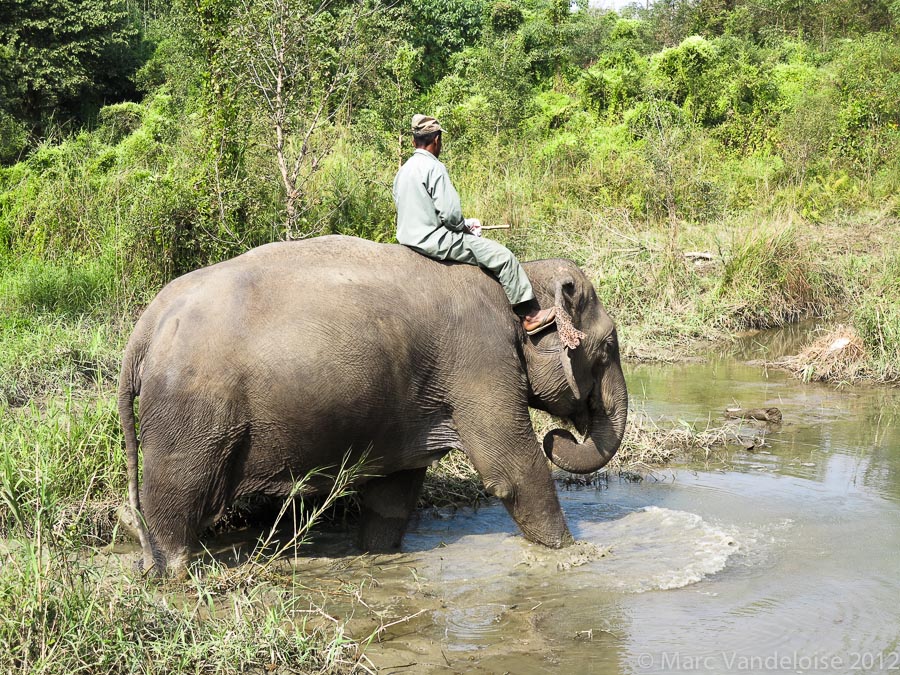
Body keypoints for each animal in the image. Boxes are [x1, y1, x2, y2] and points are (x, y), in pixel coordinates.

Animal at [118, 235, 624, 572]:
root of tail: (145, 327)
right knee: (179, 493)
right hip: (191, 412)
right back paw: (171, 572)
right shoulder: (481, 361)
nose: (557, 436)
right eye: (607, 349)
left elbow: (394, 489)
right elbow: (513, 471)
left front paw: (374, 554)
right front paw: (576, 554)